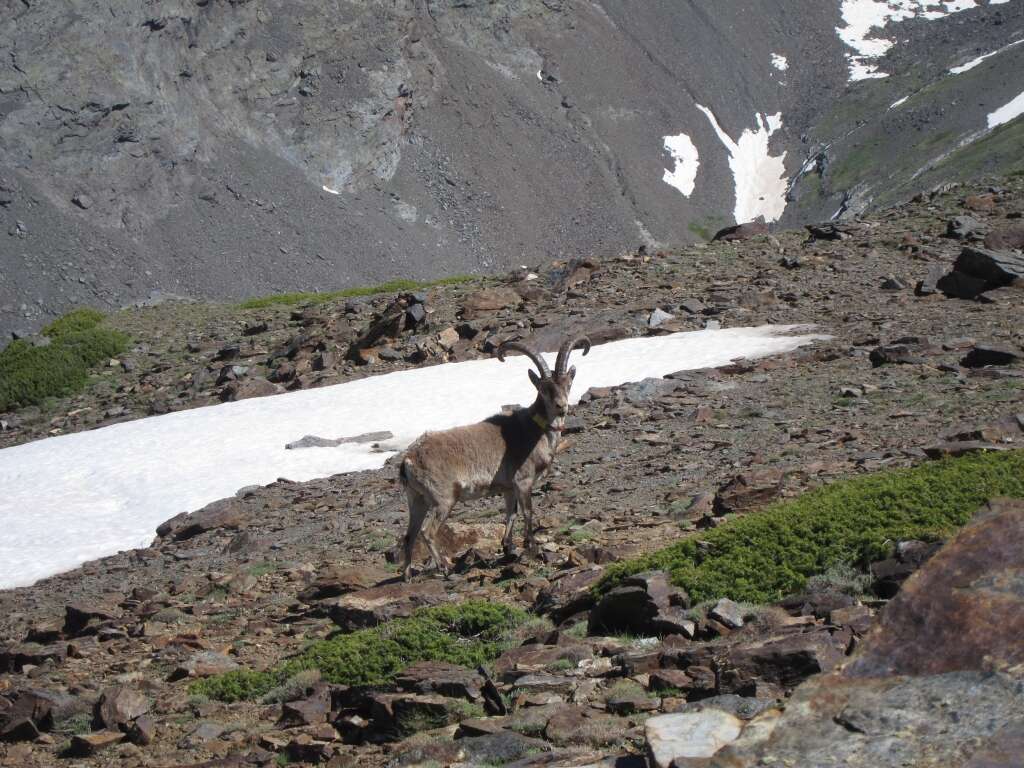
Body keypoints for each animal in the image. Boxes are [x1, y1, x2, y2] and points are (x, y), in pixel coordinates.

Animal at [399, 339, 593, 581]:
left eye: (568, 384)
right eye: (543, 389)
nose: (561, 407)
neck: (534, 431)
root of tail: (408, 460)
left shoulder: (508, 488)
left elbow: (511, 514)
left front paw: (508, 548)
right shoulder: (523, 481)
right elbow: (528, 512)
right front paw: (532, 548)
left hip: (417, 499)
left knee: (409, 535)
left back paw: (407, 575)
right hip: (443, 498)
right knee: (427, 532)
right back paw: (445, 568)